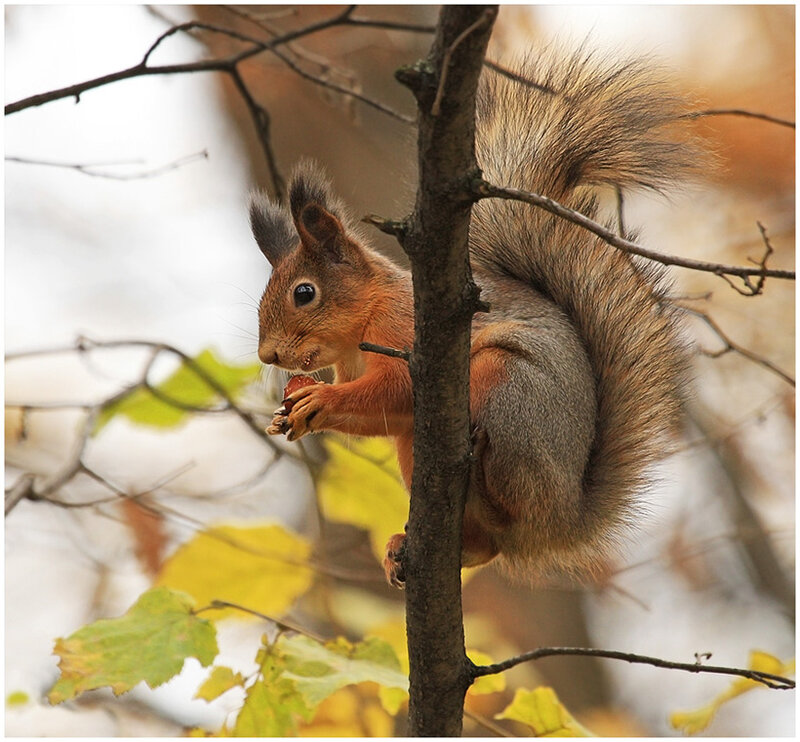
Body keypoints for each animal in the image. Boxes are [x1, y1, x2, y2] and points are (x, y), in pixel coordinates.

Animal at [249, 47, 696, 587]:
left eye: (304, 293)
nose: (267, 354)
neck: (360, 327)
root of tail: (564, 521)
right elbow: (382, 414)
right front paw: (290, 417)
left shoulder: (404, 330)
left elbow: (397, 387)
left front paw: (319, 399)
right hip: (419, 451)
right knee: (486, 546)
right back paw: (407, 549)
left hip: (509, 394)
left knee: (508, 499)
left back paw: (485, 481)